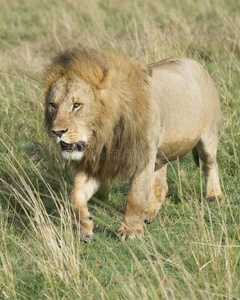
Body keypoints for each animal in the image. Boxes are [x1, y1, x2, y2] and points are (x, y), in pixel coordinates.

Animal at [42, 45, 221, 240]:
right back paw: (149, 214)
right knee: (161, 185)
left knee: (210, 164)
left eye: (77, 105)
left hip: (208, 136)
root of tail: (196, 63)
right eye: (53, 105)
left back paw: (214, 195)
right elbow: (75, 195)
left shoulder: (143, 156)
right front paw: (85, 229)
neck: (105, 134)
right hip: (159, 154)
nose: (57, 132)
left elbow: (135, 197)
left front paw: (130, 231)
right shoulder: (97, 163)